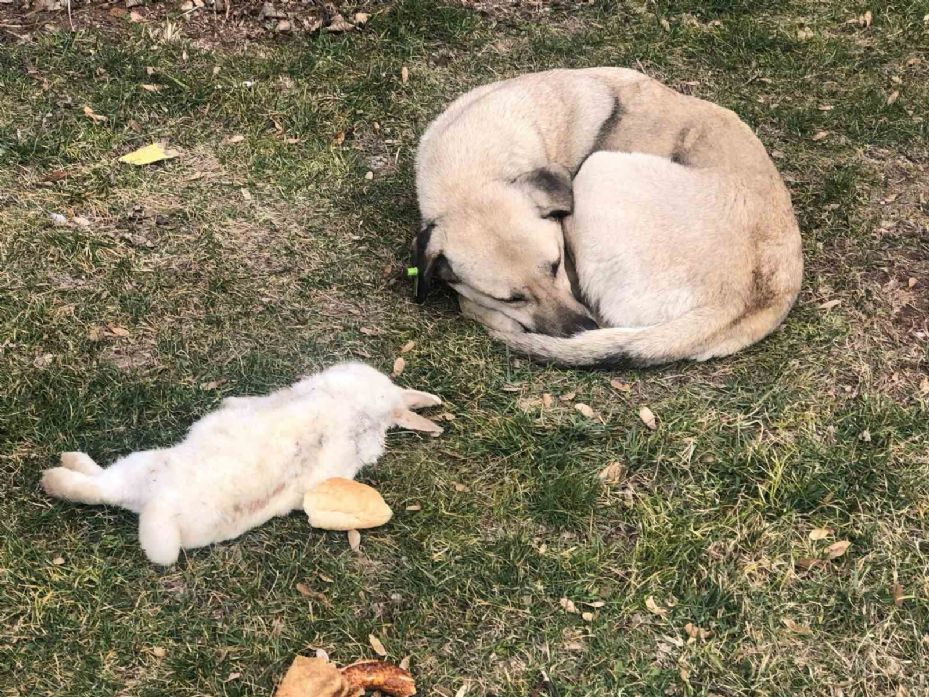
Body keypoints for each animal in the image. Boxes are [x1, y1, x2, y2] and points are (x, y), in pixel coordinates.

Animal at [410, 68, 800, 368]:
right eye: (512, 298)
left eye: (556, 265)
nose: (581, 328)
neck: (470, 168)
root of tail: (742, 298)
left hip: (599, 170)